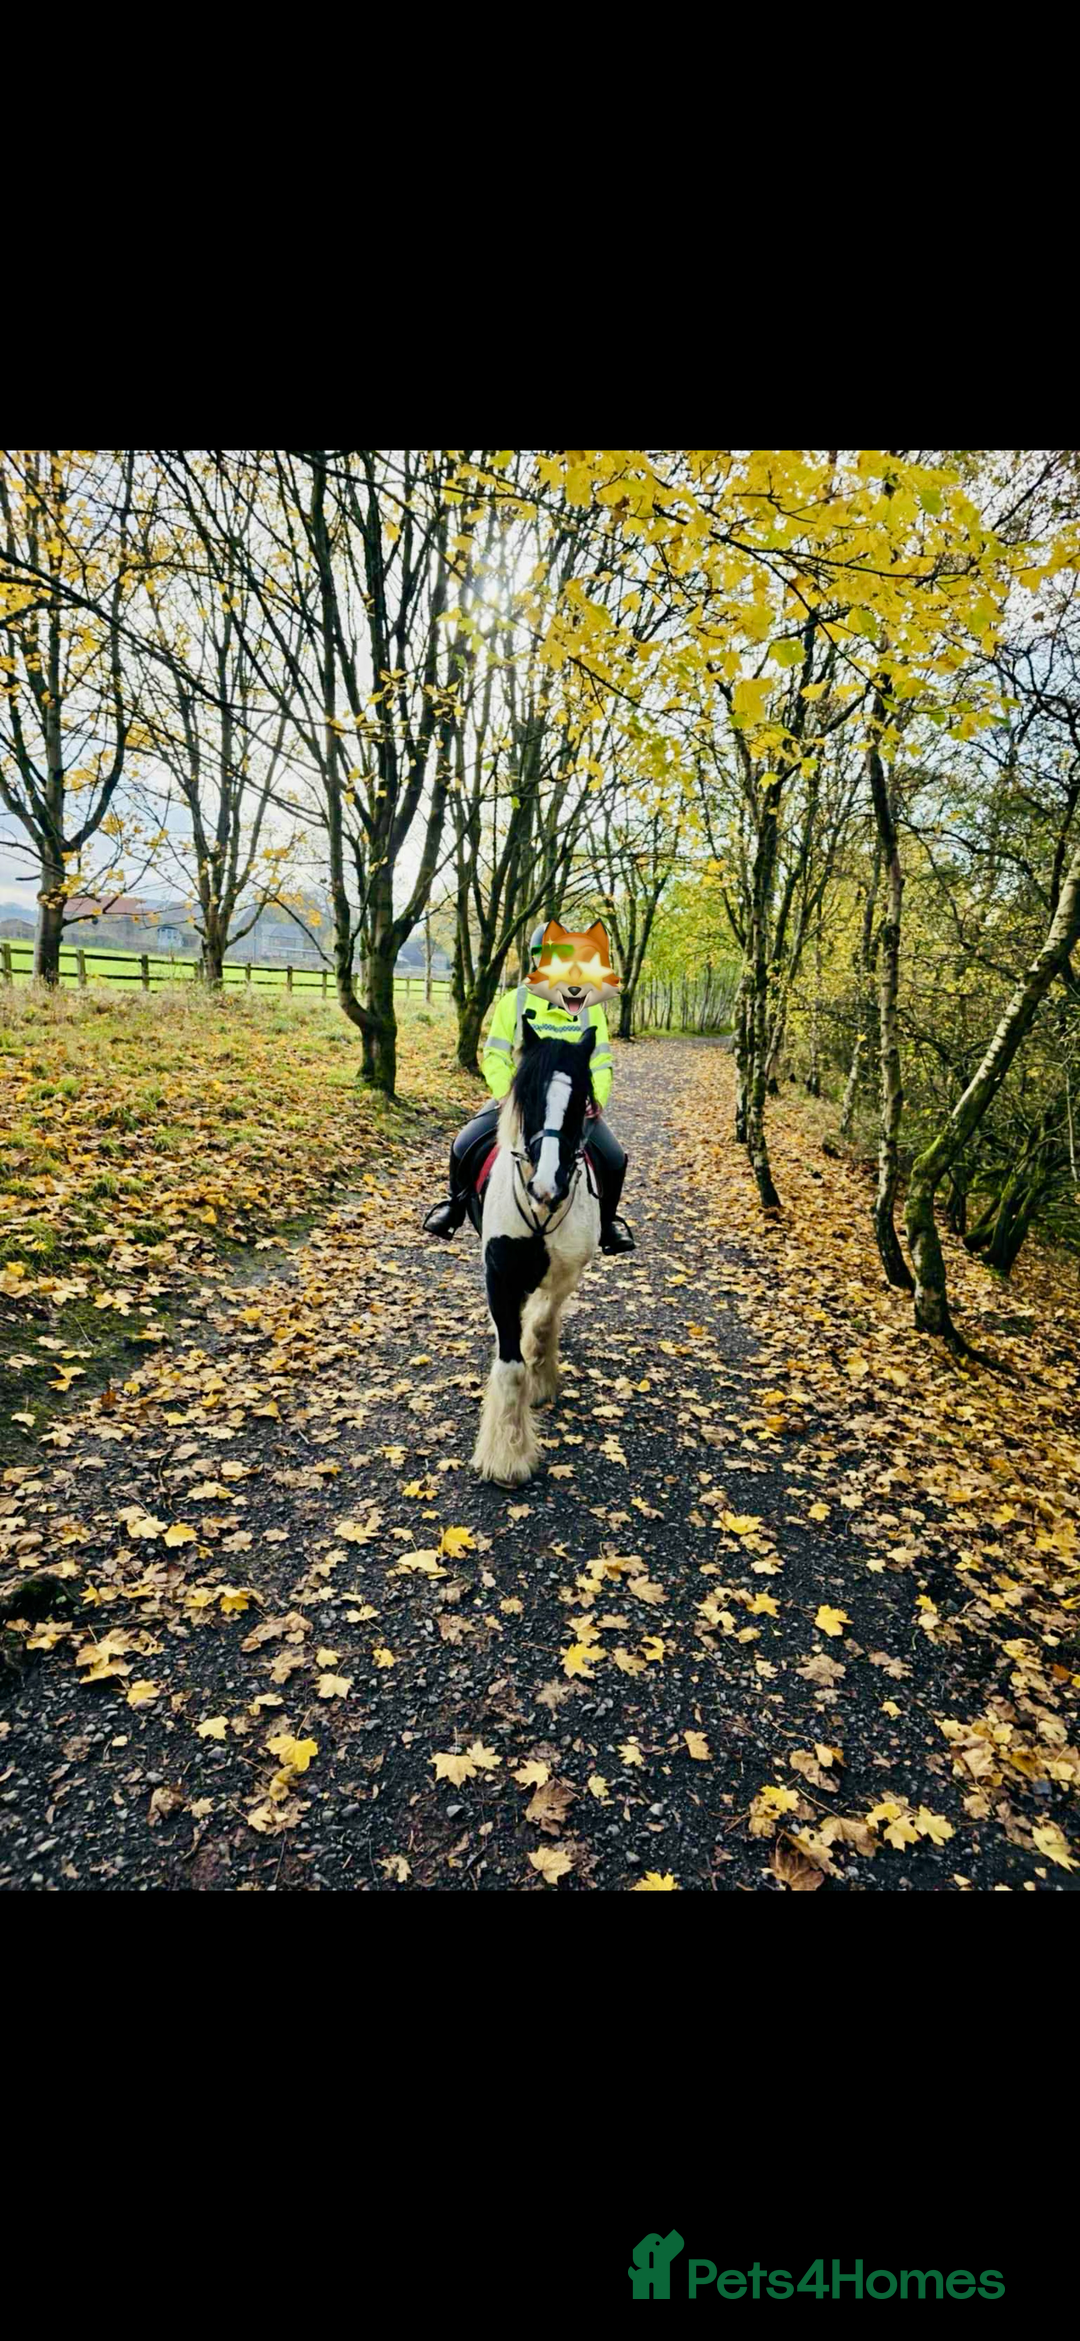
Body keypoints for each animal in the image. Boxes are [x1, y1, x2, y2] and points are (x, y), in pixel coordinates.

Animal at [472, 1019, 602, 1486]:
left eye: (580, 1101)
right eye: (525, 1094)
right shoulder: (498, 1274)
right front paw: (507, 1457)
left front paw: (541, 1380)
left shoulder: (566, 1272)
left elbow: (543, 1324)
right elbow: (510, 1364)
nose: (547, 1186)